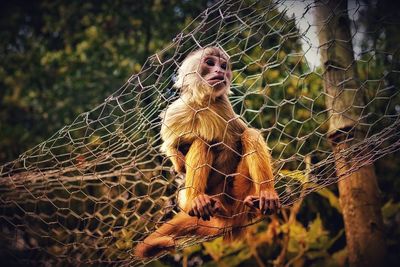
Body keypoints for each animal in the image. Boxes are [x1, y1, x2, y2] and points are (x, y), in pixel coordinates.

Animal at [133, 46, 280, 260]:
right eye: (210, 63)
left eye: (223, 66)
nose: (219, 71)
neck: (202, 103)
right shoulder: (175, 112)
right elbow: (175, 154)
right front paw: (178, 161)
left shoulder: (223, 105)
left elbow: (240, 136)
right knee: (202, 143)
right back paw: (197, 199)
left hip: (239, 195)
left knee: (248, 135)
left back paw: (266, 194)